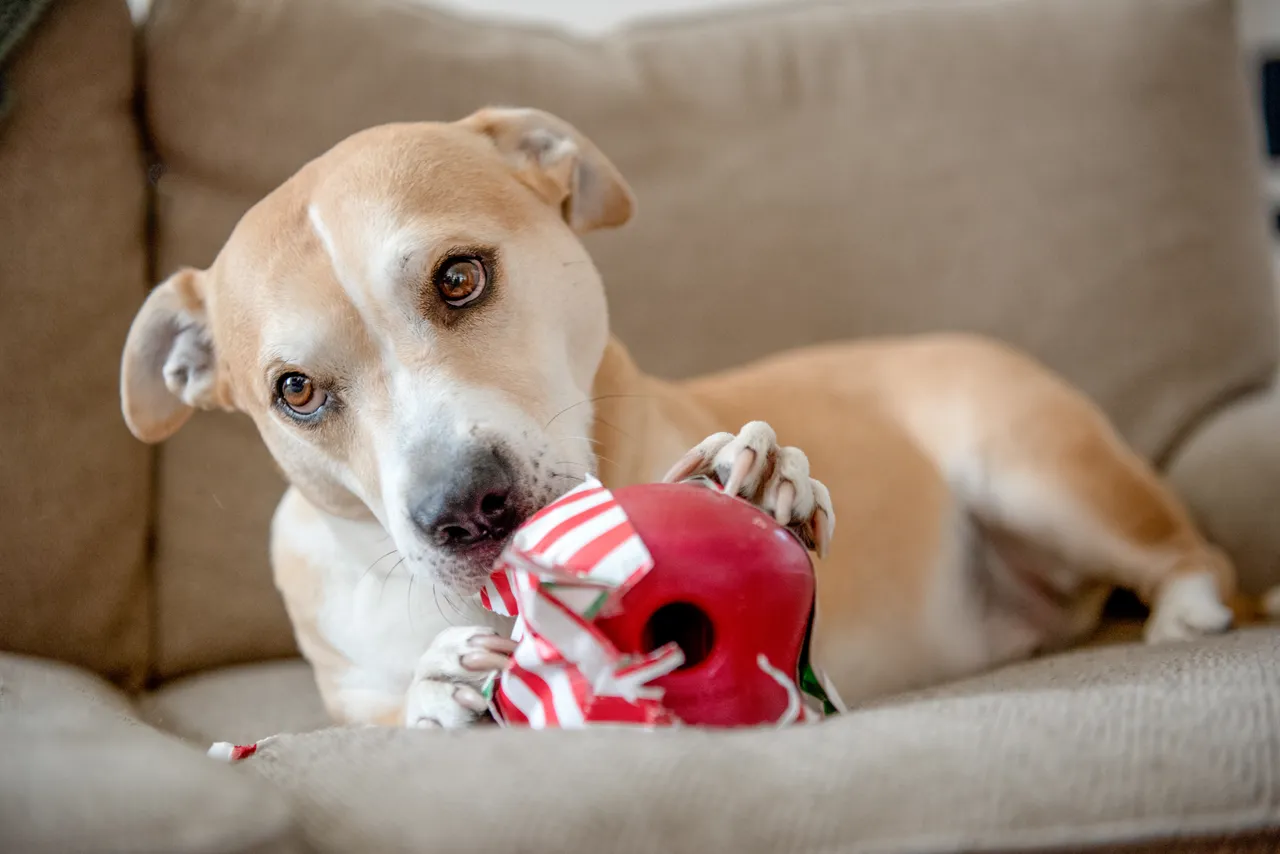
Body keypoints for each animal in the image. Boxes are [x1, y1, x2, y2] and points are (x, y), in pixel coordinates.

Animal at [117, 106, 1249, 732]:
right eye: (296, 391)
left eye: (459, 276)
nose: (465, 509)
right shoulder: (350, 697)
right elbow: (385, 712)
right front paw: (441, 690)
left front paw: (766, 481)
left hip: (1038, 469)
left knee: (1194, 555)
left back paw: (1189, 614)